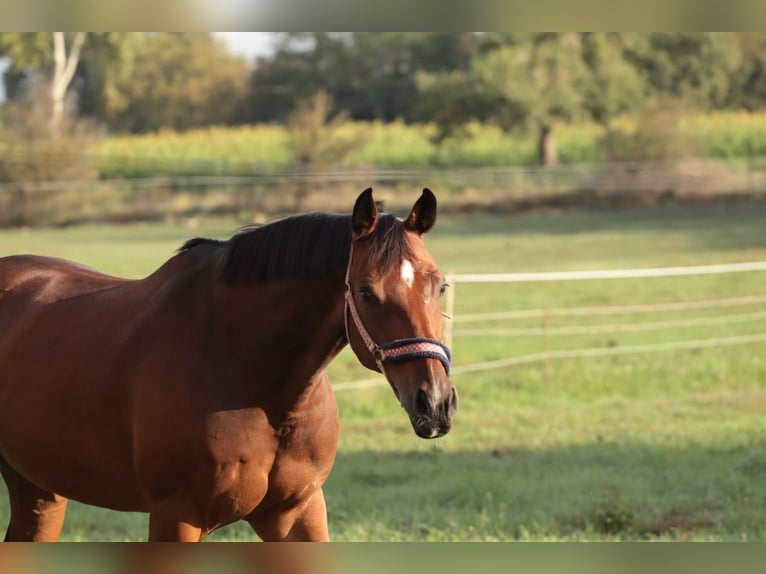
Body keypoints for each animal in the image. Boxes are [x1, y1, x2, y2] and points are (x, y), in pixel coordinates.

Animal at [0, 190, 456, 544]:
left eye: (440, 285)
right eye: (366, 292)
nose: (434, 404)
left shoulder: (297, 512)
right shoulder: (176, 518)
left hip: (38, 490)